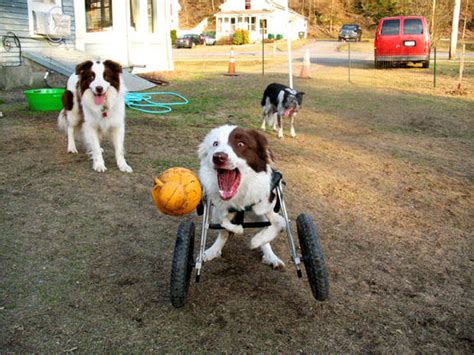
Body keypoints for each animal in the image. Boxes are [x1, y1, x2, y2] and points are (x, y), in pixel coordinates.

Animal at [197, 124, 284, 268]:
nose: (218, 157)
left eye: (241, 144)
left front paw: (256, 241)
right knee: (222, 233)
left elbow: (279, 224)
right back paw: (213, 251)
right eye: (215, 144)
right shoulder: (218, 207)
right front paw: (237, 229)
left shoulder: (267, 207)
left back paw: (271, 256)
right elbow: (224, 223)